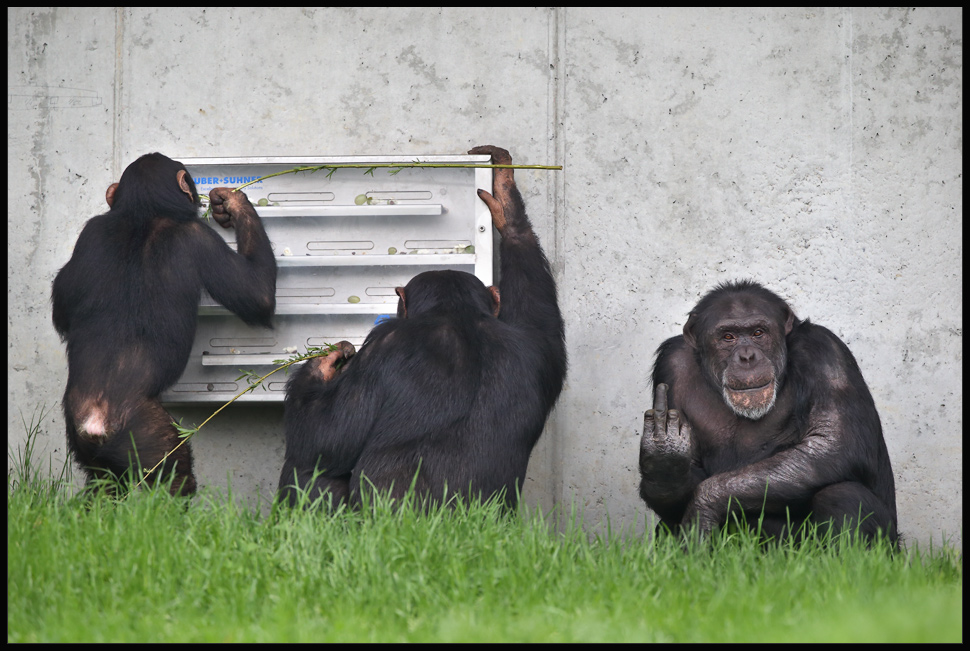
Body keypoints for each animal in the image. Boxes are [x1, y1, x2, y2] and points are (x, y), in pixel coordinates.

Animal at [53, 153, 276, 496]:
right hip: (145, 432)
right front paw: (235, 203)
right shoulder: (198, 237)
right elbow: (258, 295)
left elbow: (61, 308)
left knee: (103, 485)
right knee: (175, 475)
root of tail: (94, 420)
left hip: (83, 441)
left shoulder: (89, 231)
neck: (143, 210)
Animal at [276, 144, 568, 510]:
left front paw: (323, 364)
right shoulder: (537, 347)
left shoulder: (380, 345)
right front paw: (505, 197)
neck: (455, 312)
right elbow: (537, 305)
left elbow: (321, 436)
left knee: (312, 466)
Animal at [640, 280, 896, 544]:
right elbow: (687, 476)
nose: (747, 356)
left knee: (843, 495)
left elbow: (835, 441)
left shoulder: (826, 352)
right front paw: (666, 465)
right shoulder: (671, 364)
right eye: (728, 336)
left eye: (758, 333)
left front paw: (704, 505)